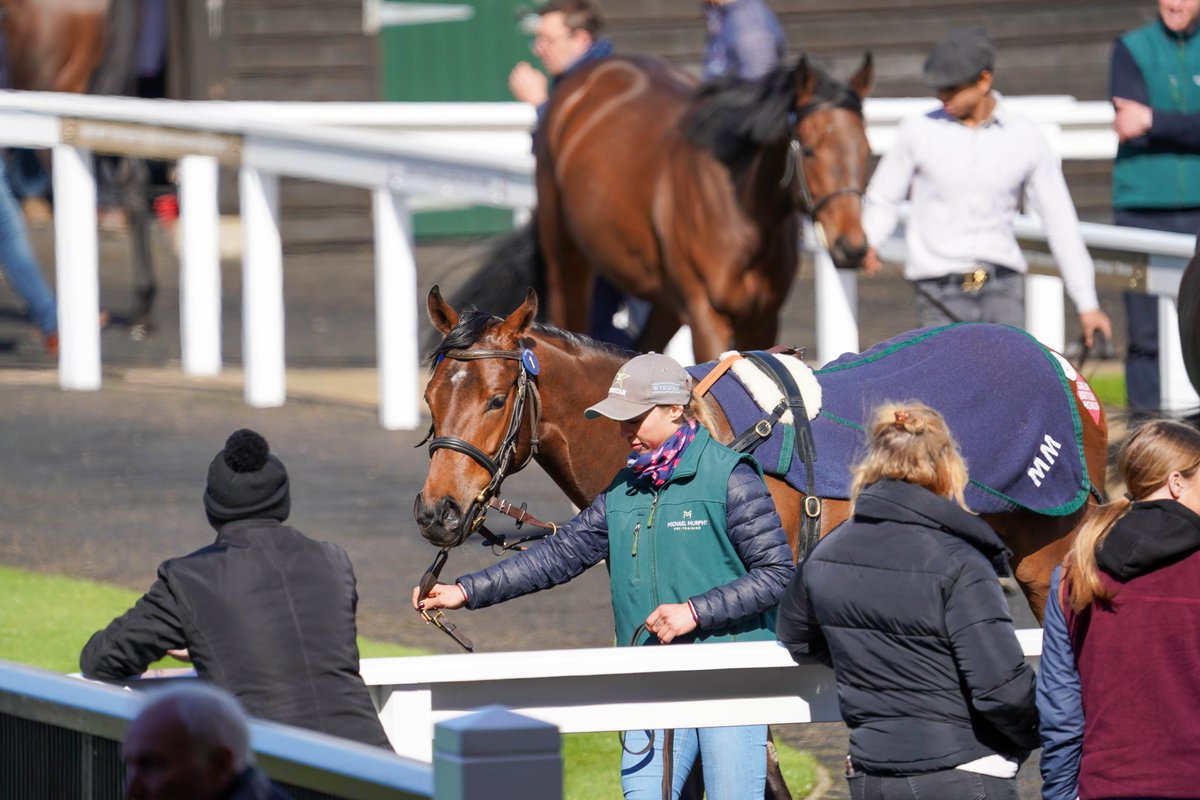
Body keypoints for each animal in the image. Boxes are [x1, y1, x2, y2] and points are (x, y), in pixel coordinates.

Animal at [535, 52, 873, 359]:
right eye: (810, 150)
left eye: (866, 149)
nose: (851, 247)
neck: (740, 208)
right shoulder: (707, 315)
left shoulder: (762, 319)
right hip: (566, 257)